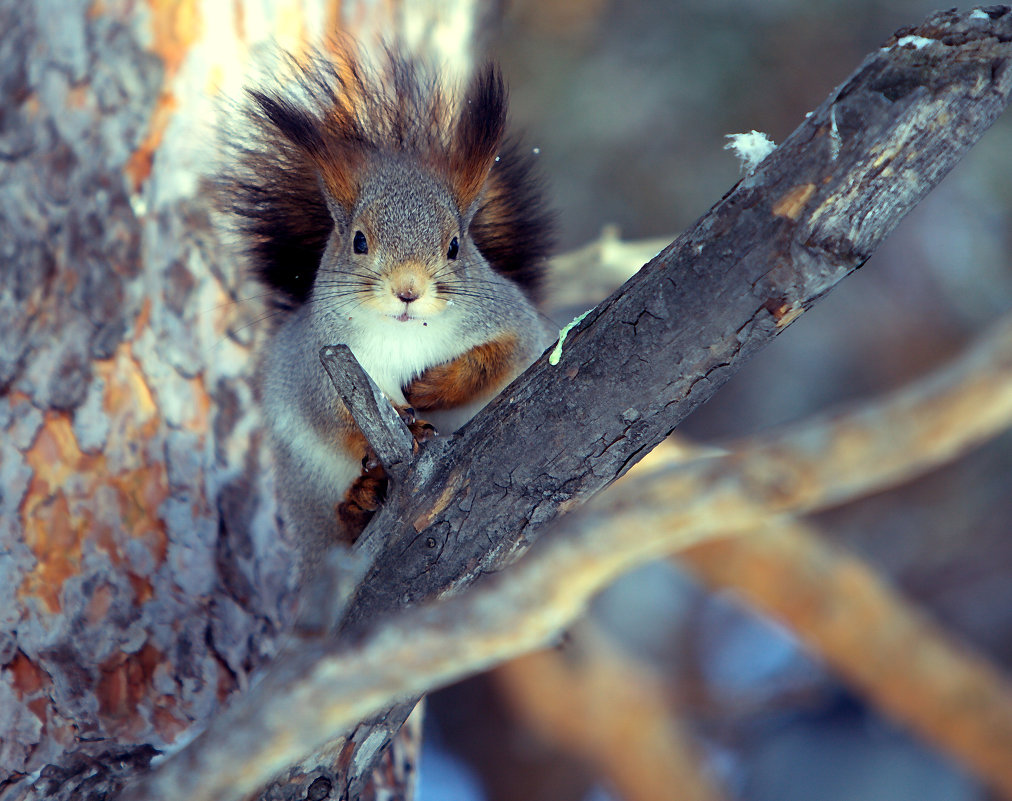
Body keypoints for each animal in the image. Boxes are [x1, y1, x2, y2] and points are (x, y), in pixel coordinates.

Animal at [215, 45, 554, 558]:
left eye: (455, 246)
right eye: (359, 241)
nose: (408, 290)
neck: (405, 332)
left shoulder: (510, 318)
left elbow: (502, 356)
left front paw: (434, 387)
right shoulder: (318, 364)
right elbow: (334, 418)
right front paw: (407, 426)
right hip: (306, 484)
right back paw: (359, 503)